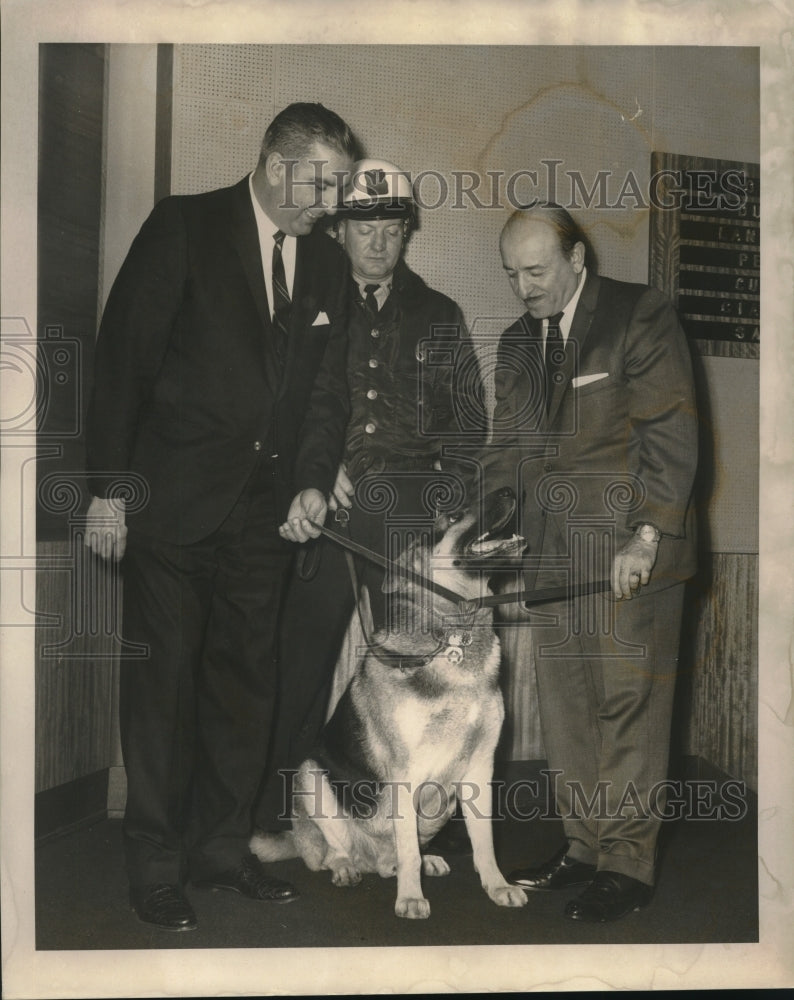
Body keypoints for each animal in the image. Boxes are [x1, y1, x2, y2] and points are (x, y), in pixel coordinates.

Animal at [251, 488, 528, 916]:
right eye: (453, 516)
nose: (511, 491)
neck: (453, 633)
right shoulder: (405, 773)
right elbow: (408, 850)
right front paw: (411, 897)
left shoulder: (480, 769)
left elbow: (484, 844)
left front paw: (497, 886)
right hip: (311, 777)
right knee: (339, 851)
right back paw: (348, 867)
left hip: (442, 801)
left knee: (395, 856)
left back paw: (417, 862)